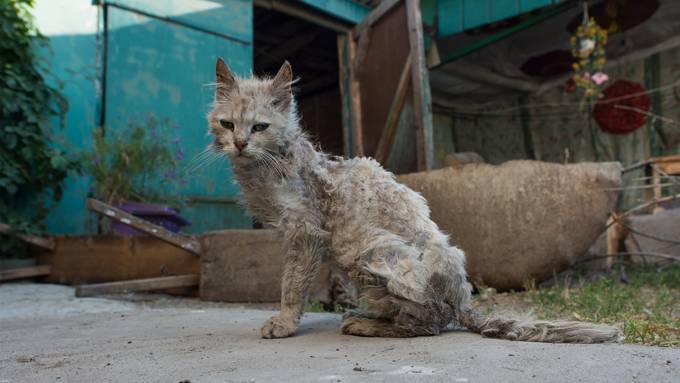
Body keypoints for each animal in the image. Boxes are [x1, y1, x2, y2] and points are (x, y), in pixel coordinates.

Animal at [207, 58, 620, 344]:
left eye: (260, 127)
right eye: (227, 125)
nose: (239, 144)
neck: (271, 164)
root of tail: (464, 303)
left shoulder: (306, 232)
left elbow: (292, 284)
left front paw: (284, 322)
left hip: (369, 250)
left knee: (429, 323)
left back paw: (365, 324)